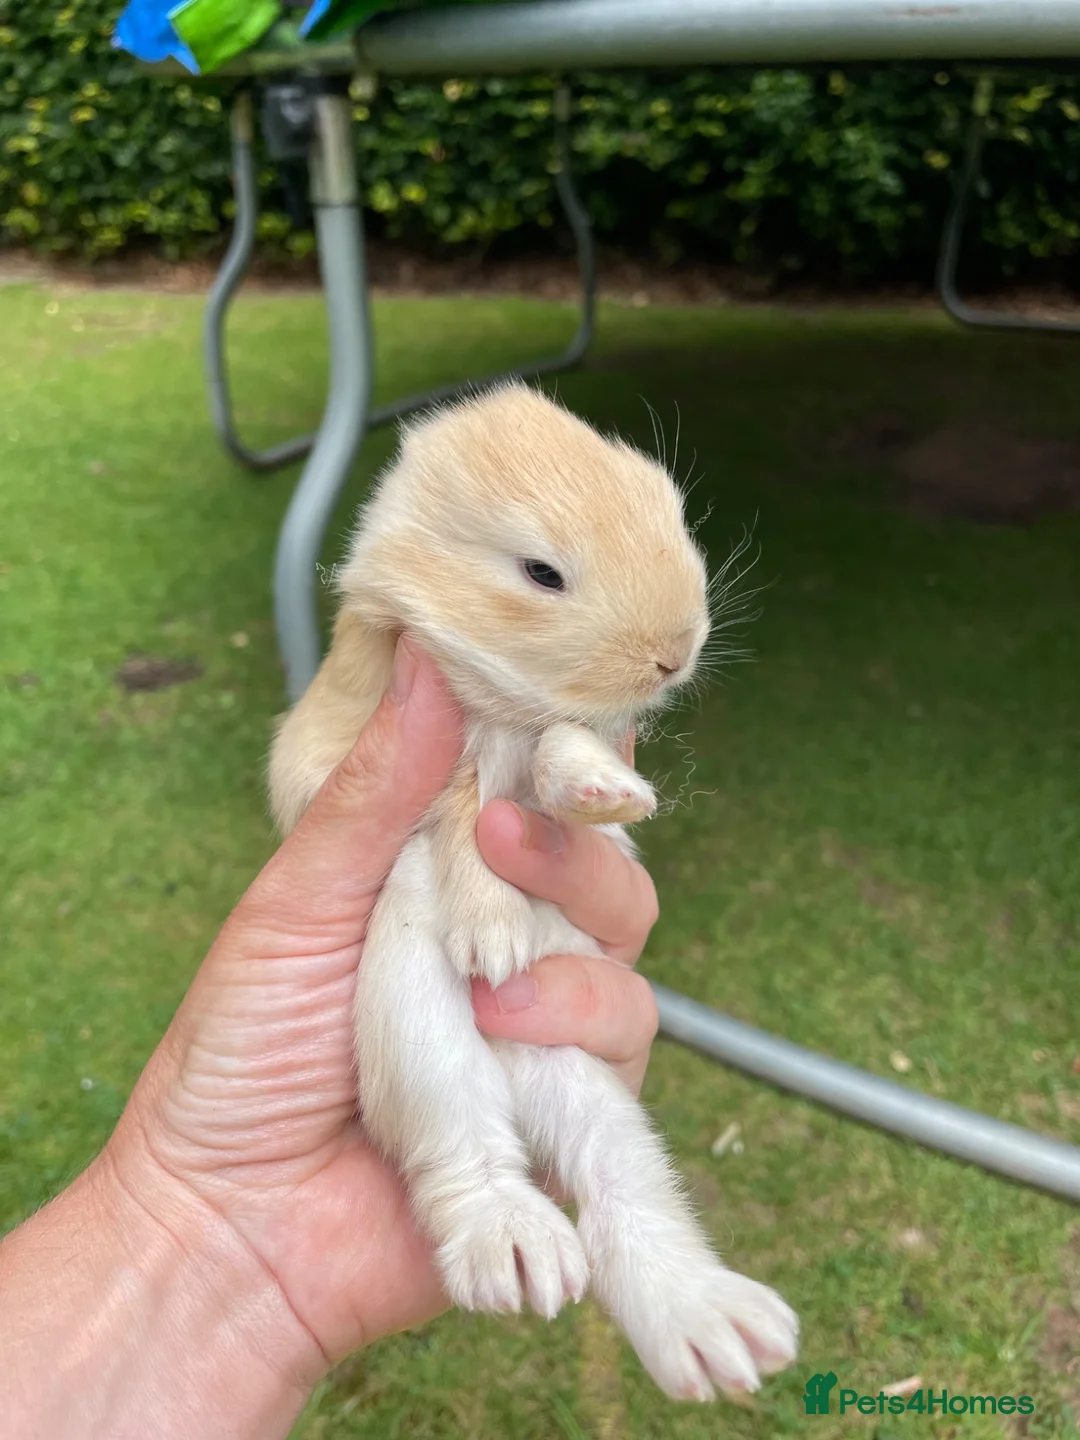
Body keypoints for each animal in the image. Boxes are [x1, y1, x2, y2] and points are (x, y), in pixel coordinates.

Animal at [268, 381, 799, 1402]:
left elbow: (556, 754)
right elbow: (460, 813)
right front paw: (494, 940)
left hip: (594, 1098)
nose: (676, 651)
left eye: (670, 508)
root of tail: (516, 1079)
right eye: (541, 572)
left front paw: (605, 794)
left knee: (624, 1196)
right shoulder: (371, 750)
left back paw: (718, 1334)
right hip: (414, 1034)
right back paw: (517, 1253)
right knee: (466, 1158)